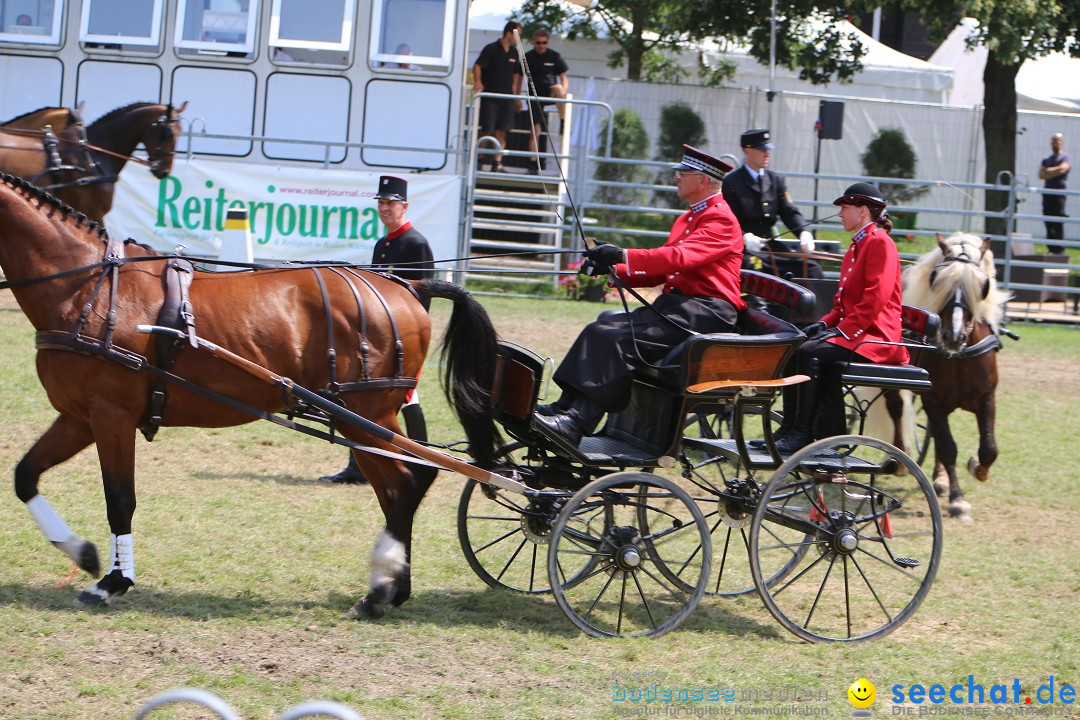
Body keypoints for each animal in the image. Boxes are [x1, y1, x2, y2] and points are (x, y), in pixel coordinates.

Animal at [0, 171, 496, 617]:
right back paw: (387, 590)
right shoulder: (79, 417)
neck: (87, 288)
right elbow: (25, 475)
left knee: (406, 483)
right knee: (400, 486)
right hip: (361, 420)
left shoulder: (111, 415)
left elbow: (120, 499)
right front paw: (82, 553)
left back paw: (382, 585)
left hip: (367, 415)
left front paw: (113, 583)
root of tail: (407, 285)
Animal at [889, 234, 1006, 520]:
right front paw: (958, 499)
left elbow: (989, 448)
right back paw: (899, 458)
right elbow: (948, 447)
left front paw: (976, 467)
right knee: (896, 409)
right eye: (937, 280)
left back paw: (939, 478)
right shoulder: (932, 399)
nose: (953, 336)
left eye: (983, 285)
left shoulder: (987, 396)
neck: (958, 356)